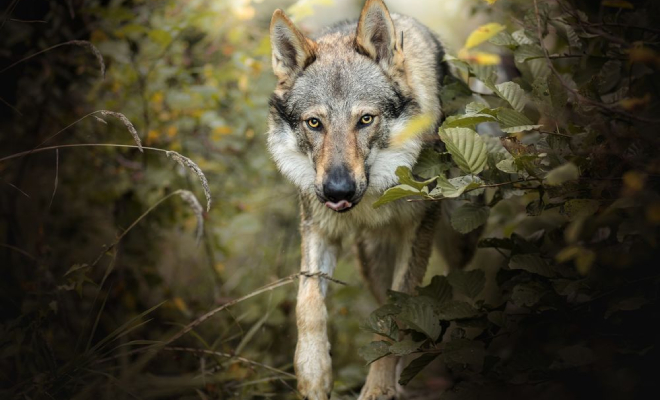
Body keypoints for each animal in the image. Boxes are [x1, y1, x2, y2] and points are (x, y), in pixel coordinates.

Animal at [266, 1, 476, 398]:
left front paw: (378, 387)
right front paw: (313, 374)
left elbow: (400, 312)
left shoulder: (418, 231)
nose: (338, 191)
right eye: (314, 123)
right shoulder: (317, 227)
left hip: (456, 238)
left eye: (365, 119)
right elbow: (308, 303)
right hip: (370, 259)